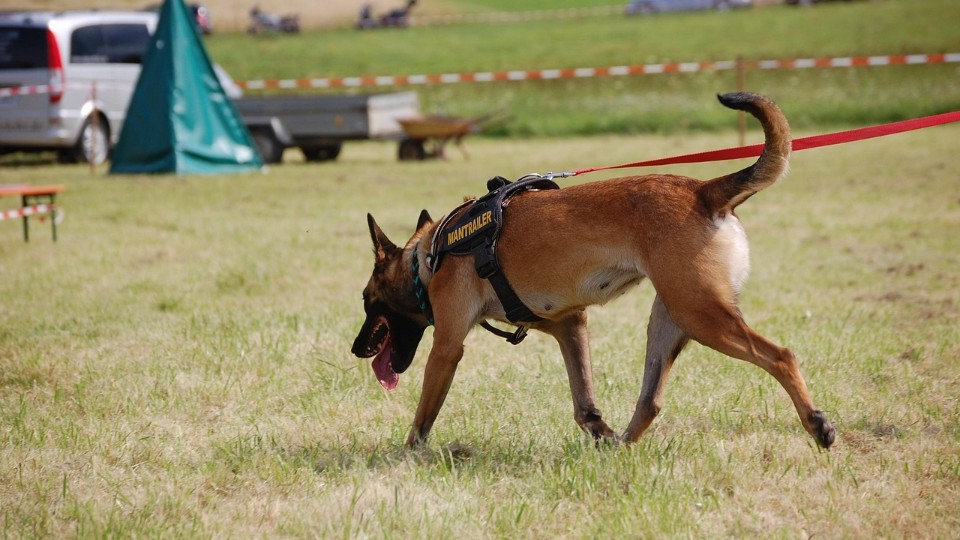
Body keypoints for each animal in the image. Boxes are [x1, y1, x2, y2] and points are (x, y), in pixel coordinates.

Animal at [352, 92, 832, 448]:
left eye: (367, 300)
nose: (356, 349)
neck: (431, 253)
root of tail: (703, 191)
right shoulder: (570, 325)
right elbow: (583, 402)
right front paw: (599, 431)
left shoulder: (447, 347)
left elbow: (424, 414)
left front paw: (406, 456)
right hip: (670, 319)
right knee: (650, 400)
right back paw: (621, 446)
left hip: (701, 315)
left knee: (781, 356)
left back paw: (817, 424)